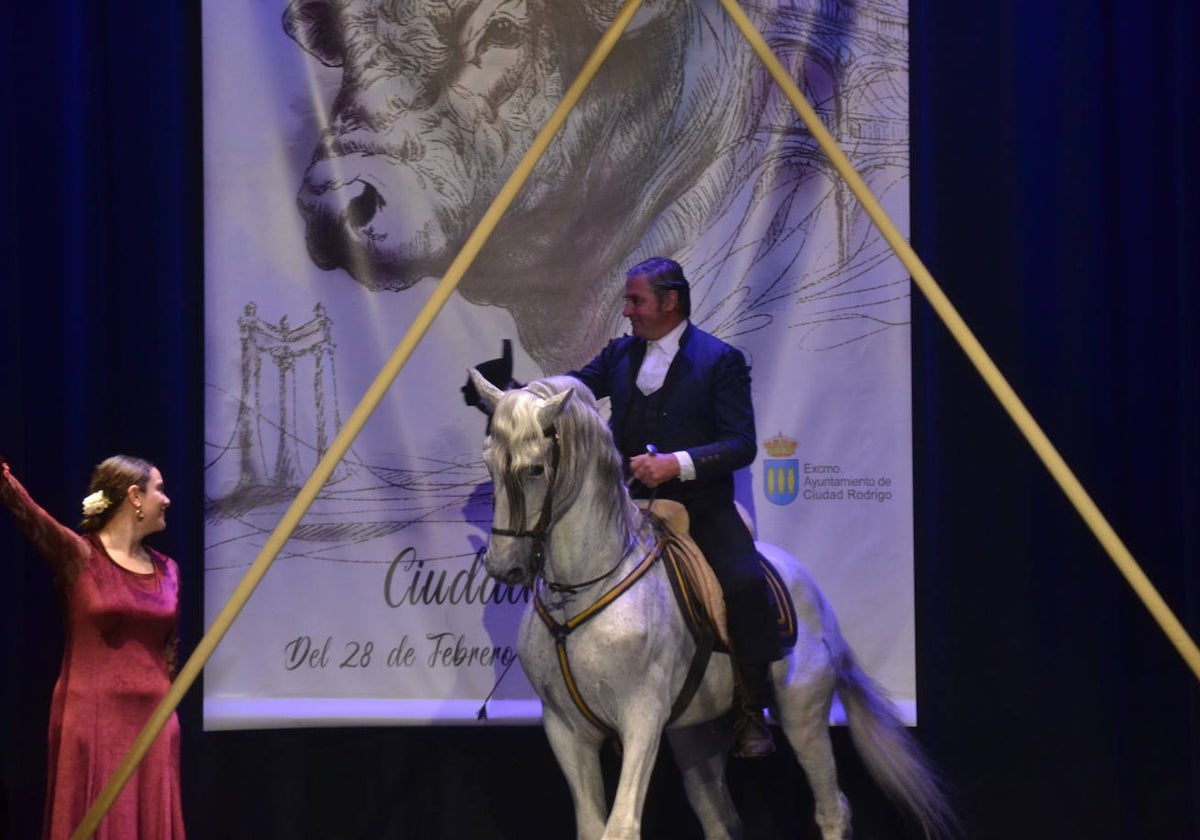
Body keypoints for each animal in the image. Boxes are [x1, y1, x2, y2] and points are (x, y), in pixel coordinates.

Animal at [472, 374, 950, 840]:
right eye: (488, 462)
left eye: (535, 469)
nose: (504, 566)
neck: (580, 593)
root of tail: (815, 594)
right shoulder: (566, 730)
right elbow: (593, 827)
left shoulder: (642, 716)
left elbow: (621, 826)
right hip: (697, 736)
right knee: (720, 820)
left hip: (803, 715)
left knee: (833, 809)